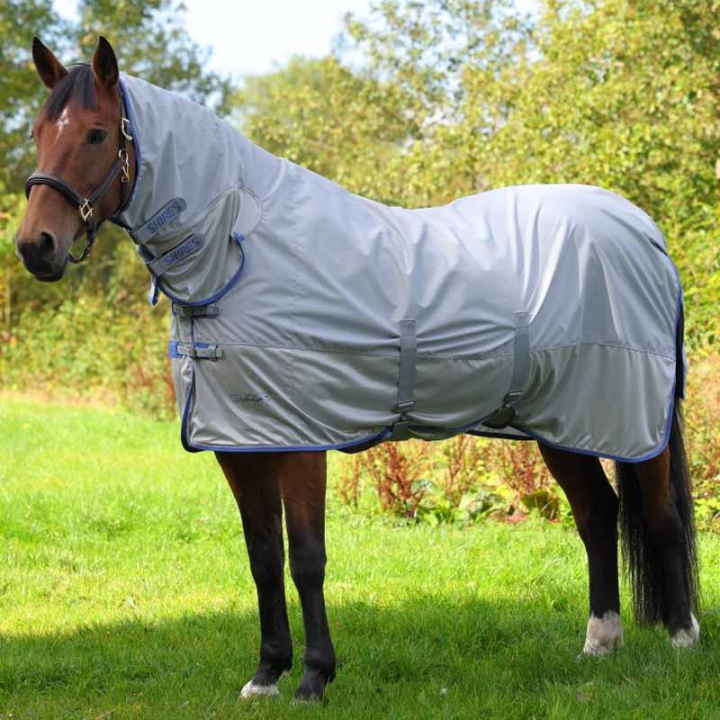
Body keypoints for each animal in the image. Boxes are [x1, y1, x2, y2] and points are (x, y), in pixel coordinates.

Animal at [16, 36, 699, 702]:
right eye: (38, 131)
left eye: (97, 134)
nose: (35, 246)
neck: (241, 249)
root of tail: (645, 233)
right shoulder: (239, 443)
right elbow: (263, 556)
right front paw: (266, 674)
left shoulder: (301, 440)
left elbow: (306, 558)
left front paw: (314, 677)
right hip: (565, 421)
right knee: (598, 515)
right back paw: (600, 645)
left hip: (633, 419)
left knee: (660, 515)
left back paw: (681, 643)